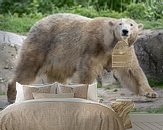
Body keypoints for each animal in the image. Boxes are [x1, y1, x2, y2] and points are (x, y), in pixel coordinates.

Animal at [6, 12, 158, 103]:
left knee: (58, 74)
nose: (125, 31)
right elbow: (88, 69)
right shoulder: (94, 46)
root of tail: (36, 23)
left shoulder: (123, 50)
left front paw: (150, 93)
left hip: (59, 55)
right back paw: (13, 95)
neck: (110, 43)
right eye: (120, 23)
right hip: (42, 43)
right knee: (28, 67)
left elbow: (132, 71)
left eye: (131, 24)